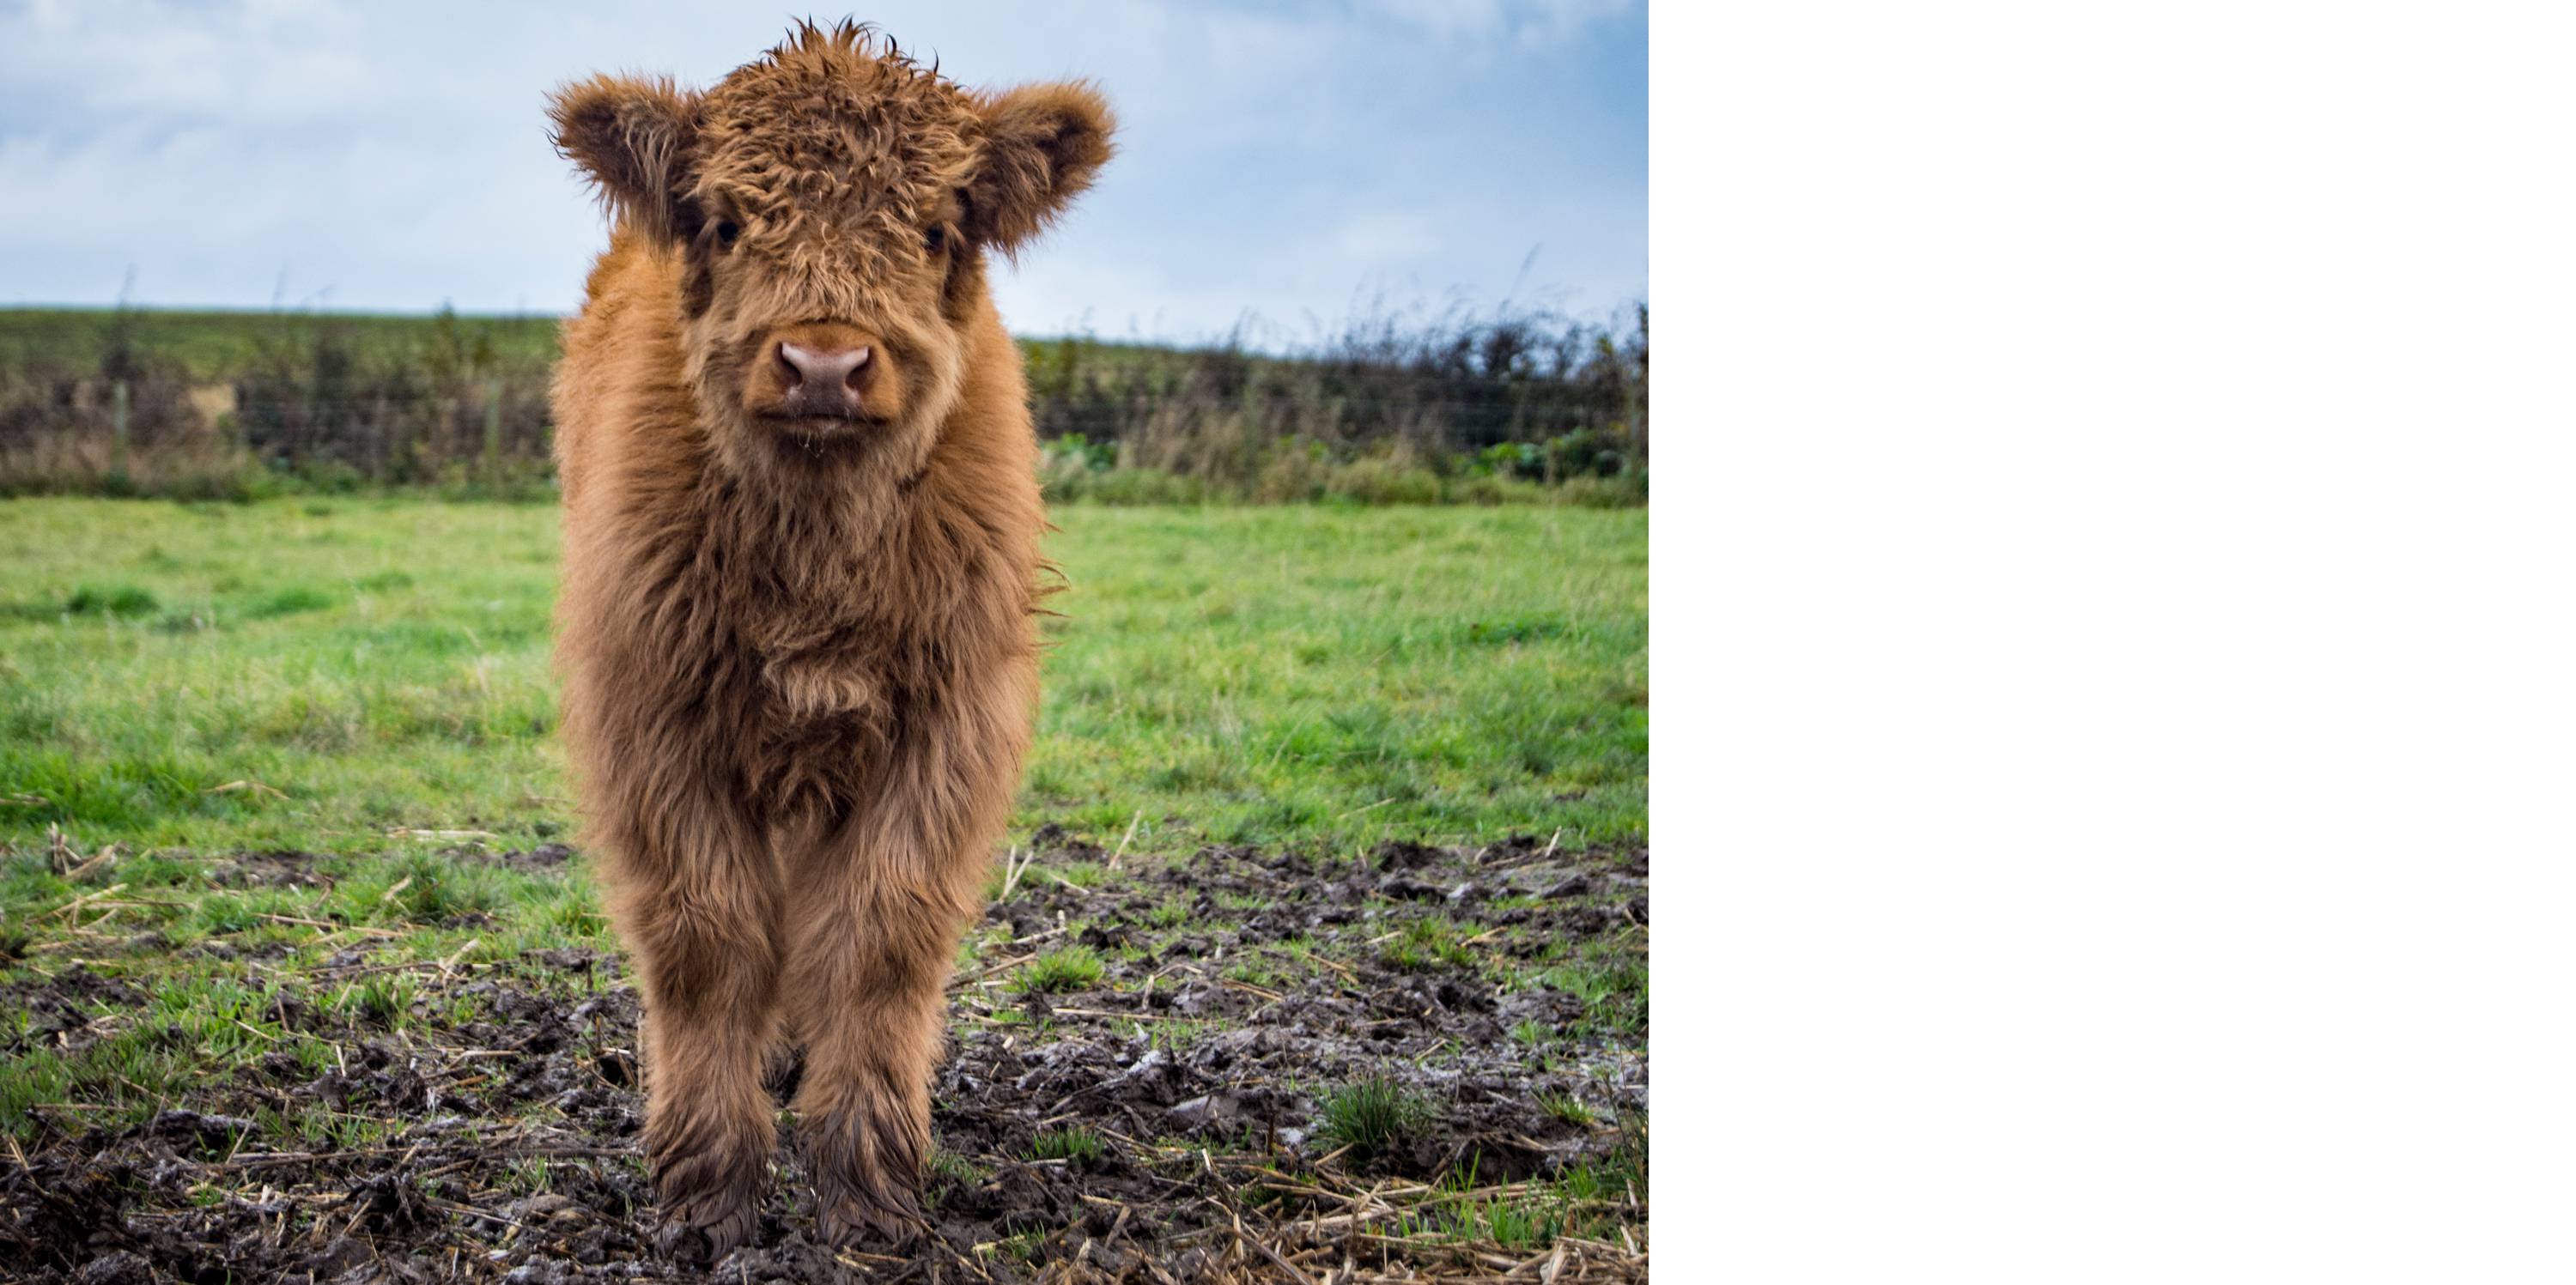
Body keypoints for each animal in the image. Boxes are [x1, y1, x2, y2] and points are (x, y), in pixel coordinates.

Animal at [543, 22, 1111, 1261]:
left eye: (938, 226)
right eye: (723, 220)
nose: (822, 366)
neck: (817, 552)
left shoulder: (948, 726)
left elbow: (879, 936)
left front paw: (869, 1189)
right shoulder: (654, 718)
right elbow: (708, 940)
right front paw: (709, 1190)